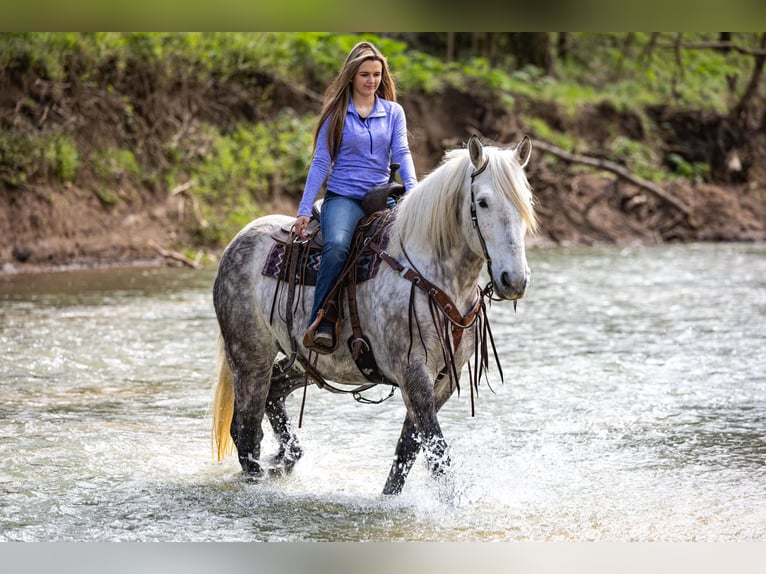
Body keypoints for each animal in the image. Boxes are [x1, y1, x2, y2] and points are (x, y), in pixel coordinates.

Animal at [207, 137, 536, 498]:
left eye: (525, 201)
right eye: (483, 202)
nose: (514, 280)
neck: (430, 275)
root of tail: (238, 241)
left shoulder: (444, 380)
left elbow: (407, 451)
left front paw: (388, 499)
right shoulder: (414, 375)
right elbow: (437, 454)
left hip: (305, 361)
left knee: (274, 393)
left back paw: (287, 457)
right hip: (249, 357)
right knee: (246, 430)